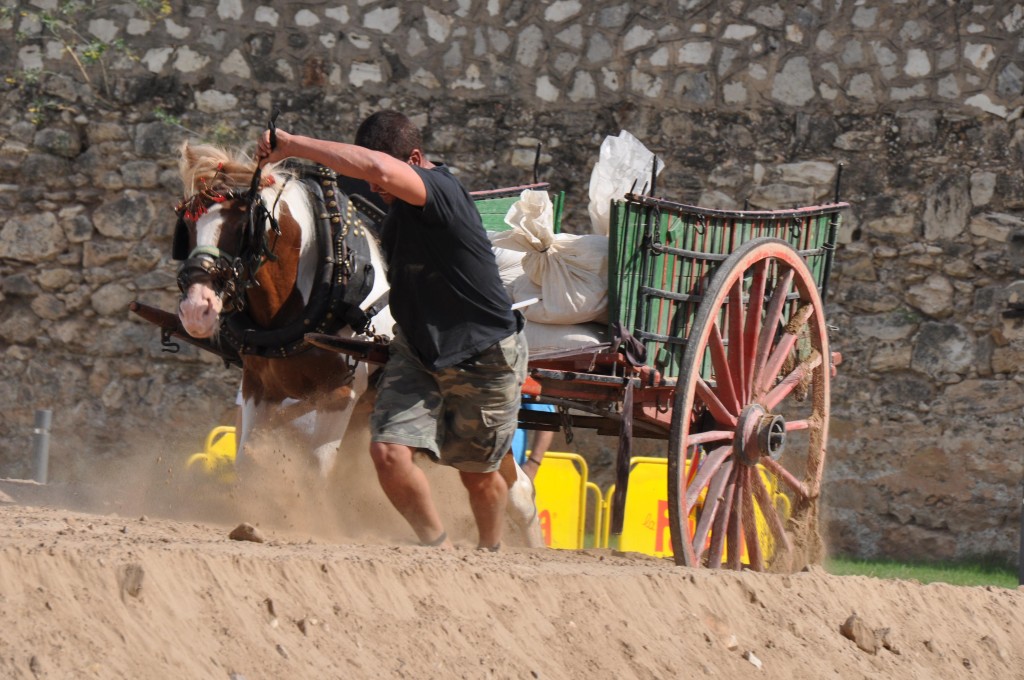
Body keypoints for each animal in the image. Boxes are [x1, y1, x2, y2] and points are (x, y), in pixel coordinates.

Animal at [172, 140, 391, 475]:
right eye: (187, 224)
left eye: (242, 227)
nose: (197, 309)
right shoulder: (259, 388)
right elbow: (246, 462)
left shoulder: (339, 395)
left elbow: (317, 472)